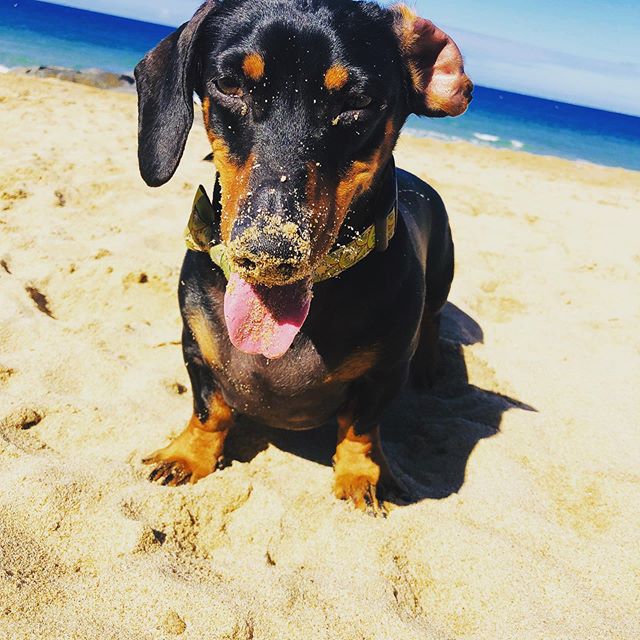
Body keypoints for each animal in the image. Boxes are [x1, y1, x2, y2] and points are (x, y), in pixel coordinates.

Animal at [134, 0, 470, 512]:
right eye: (229, 84)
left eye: (358, 102)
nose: (270, 252)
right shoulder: (195, 348)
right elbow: (210, 409)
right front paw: (187, 455)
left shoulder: (385, 373)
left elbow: (361, 430)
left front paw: (361, 478)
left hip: (443, 276)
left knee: (432, 320)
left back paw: (431, 365)